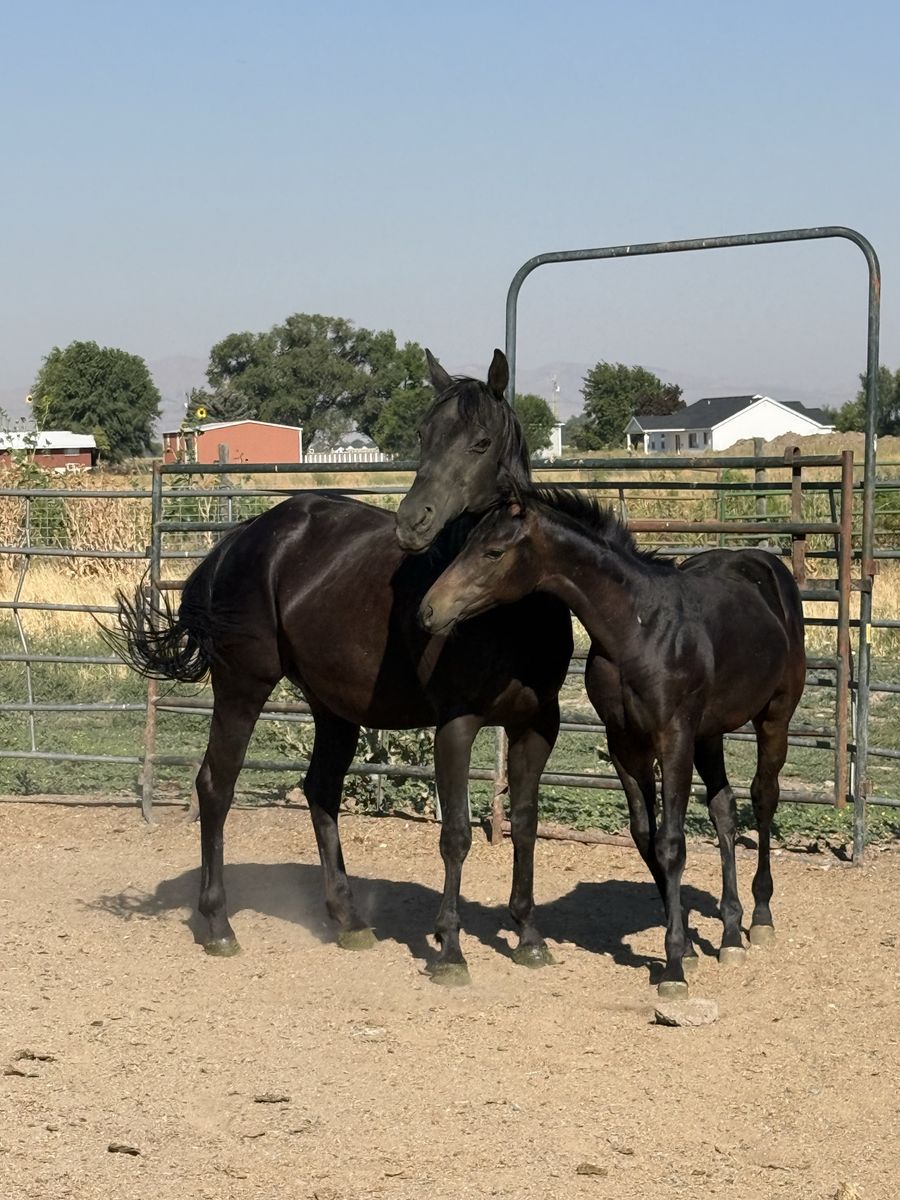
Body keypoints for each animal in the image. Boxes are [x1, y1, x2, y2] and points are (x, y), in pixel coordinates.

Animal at [110, 354, 573, 985]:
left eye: (480, 442)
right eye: (424, 435)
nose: (413, 521)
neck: (510, 611)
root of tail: (240, 540)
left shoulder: (536, 724)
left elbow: (525, 825)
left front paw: (528, 936)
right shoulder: (457, 725)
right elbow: (455, 835)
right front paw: (451, 951)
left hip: (334, 707)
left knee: (320, 790)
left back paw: (348, 920)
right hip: (243, 686)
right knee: (216, 786)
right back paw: (220, 925)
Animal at [419, 487, 806, 997]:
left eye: (494, 552)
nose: (429, 610)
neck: (639, 628)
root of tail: (764, 564)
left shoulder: (673, 737)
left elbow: (672, 843)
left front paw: (674, 968)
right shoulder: (626, 743)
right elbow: (646, 837)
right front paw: (683, 942)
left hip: (774, 716)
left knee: (763, 798)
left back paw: (759, 918)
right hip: (710, 733)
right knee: (723, 809)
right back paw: (728, 933)